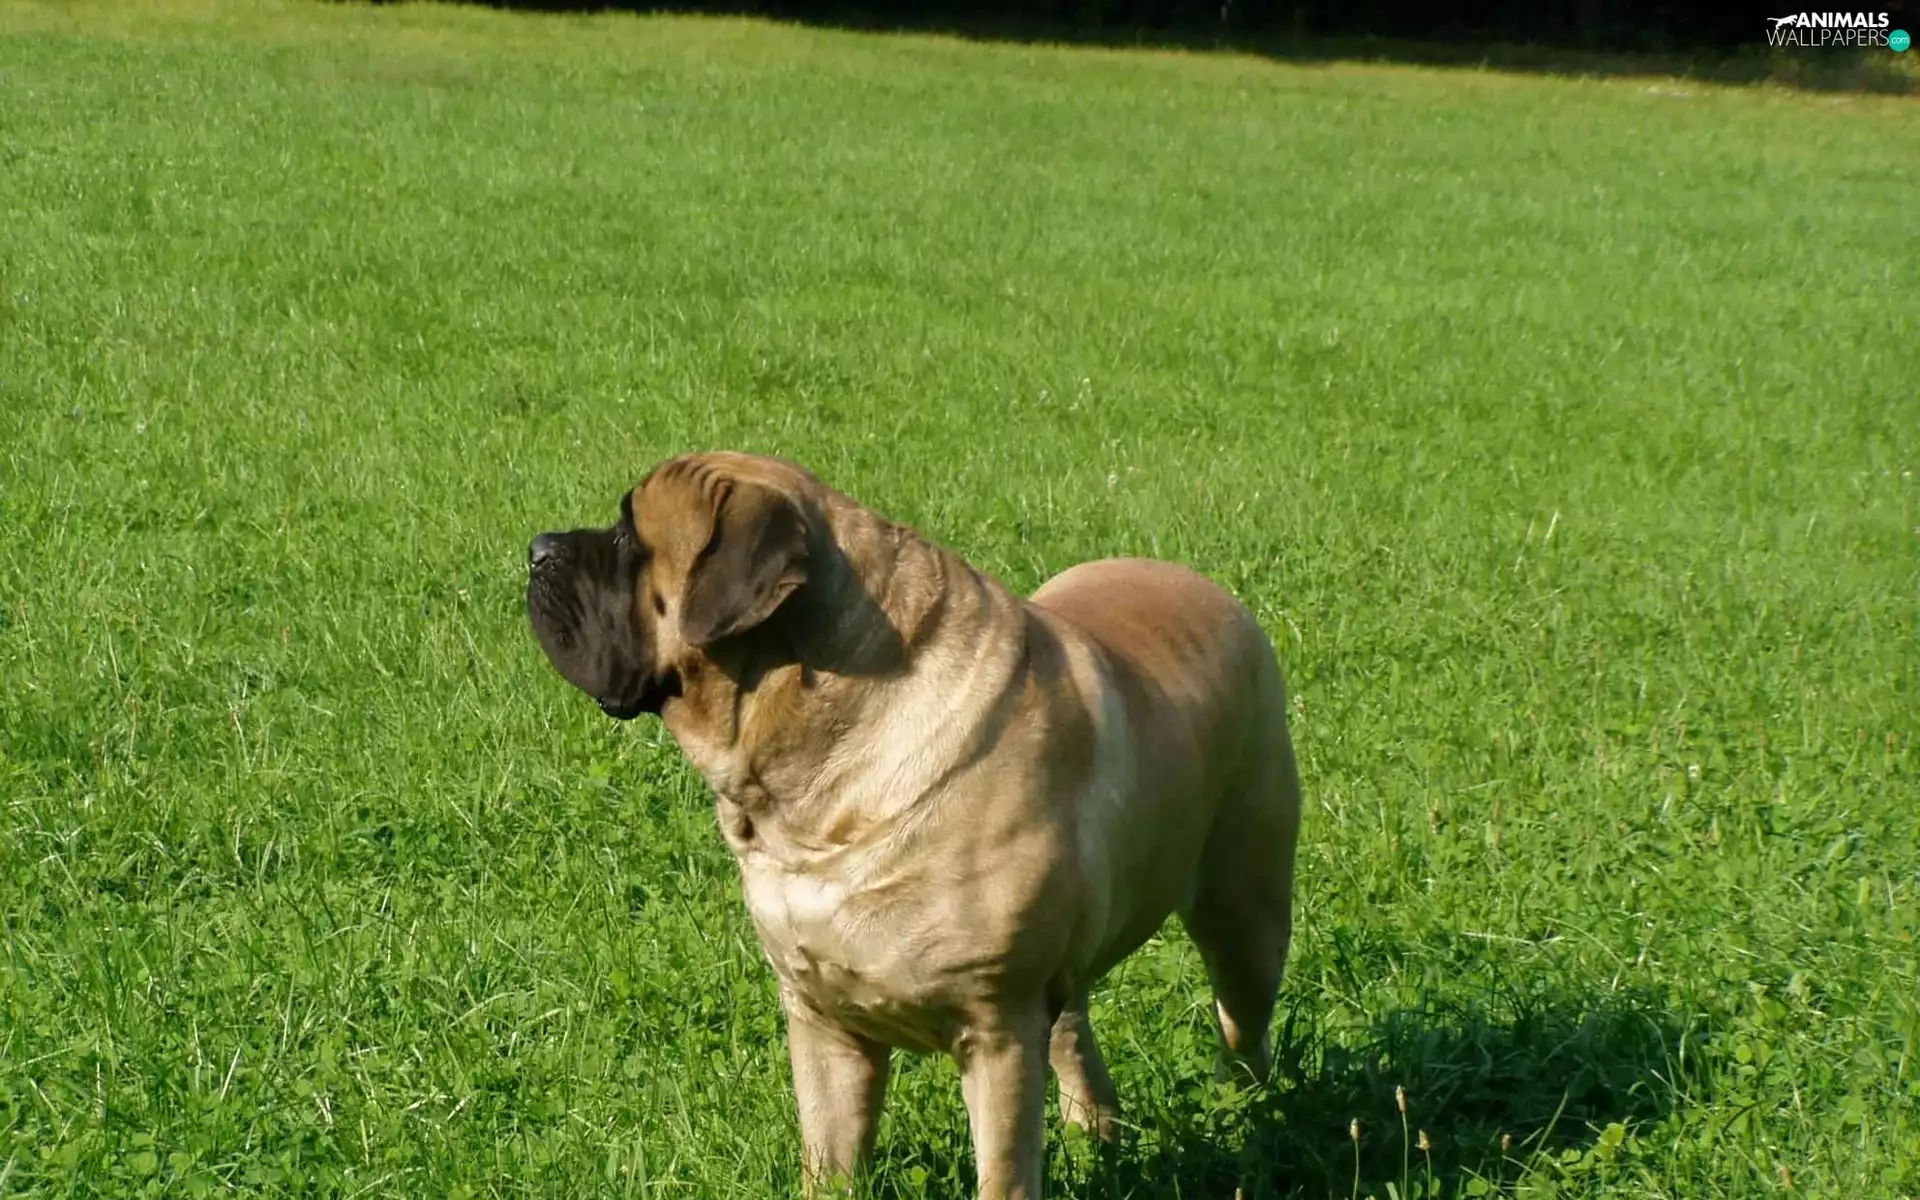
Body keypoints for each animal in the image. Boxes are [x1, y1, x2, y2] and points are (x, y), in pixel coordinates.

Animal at [526, 452, 1301, 1198]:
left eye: (629, 540)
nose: (537, 549)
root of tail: (1214, 594)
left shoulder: (996, 1032)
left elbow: (1004, 1178)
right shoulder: (823, 1024)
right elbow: (830, 1166)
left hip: (1247, 916)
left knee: (1244, 1032)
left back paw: (1251, 1125)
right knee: (1075, 1029)